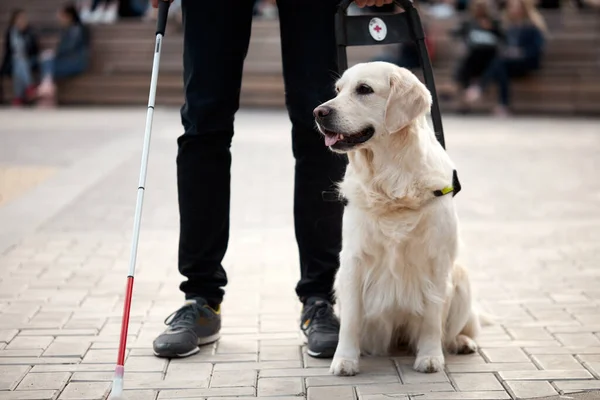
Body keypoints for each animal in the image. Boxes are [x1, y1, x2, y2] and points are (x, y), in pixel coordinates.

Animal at [314, 61, 482, 376]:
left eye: (364, 89)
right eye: (338, 90)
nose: (319, 112)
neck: (391, 180)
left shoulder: (436, 260)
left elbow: (432, 316)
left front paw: (430, 356)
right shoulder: (353, 261)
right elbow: (350, 320)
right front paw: (344, 360)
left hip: (462, 278)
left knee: (455, 329)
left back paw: (461, 342)